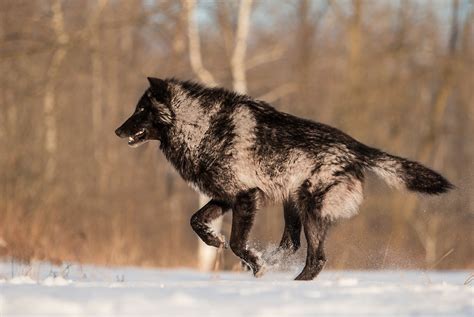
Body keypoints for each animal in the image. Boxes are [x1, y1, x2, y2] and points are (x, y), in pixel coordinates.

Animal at [115, 78, 452, 280]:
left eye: (141, 109)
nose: (117, 131)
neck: (204, 126)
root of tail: (356, 147)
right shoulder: (226, 197)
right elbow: (196, 221)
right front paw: (217, 242)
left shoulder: (245, 197)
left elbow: (236, 242)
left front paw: (254, 263)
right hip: (293, 204)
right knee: (291, 243)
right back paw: (274, 265)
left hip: (311, 211)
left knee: (315, 258)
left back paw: (293, 283)